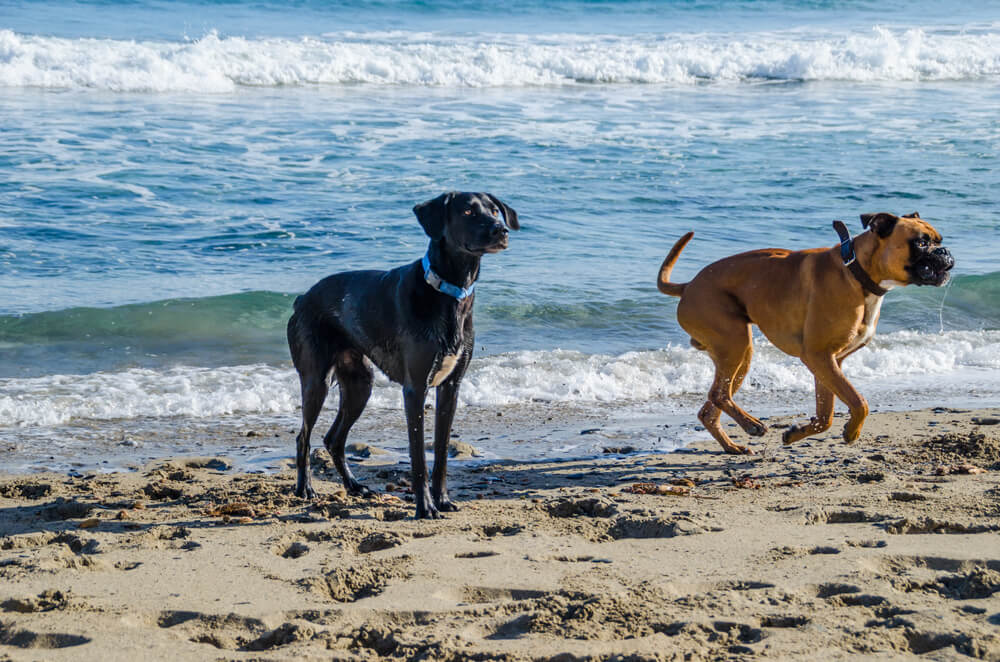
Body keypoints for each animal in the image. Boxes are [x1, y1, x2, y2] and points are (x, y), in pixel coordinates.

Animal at [286, 192, 520, 520]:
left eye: (495, 210)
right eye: (467, 211)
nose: (502, 230)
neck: (449, 293)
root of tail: (301, 299)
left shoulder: (451, 387)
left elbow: (441, 452)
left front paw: (442, 499)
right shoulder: (415, 388)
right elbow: (419, 456)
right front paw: (425, 507)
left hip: (360, 384)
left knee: (334, 439)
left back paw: (354, 486)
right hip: (315, 380)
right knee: (303, 436)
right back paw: (304, 488)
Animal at [656, 213, 952, 456]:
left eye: (938, 240)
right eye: (921, 243)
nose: (945, 251)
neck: (856, 272)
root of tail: (687, 286)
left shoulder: (830, 363)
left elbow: (825, 415)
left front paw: (796, 433)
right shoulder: (819, 357)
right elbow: (859, 402)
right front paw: (851, 432)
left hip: (739, 353)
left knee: (710, 407)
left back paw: (732, 446)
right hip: (734, 342)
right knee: (719, 394)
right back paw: (752, 426)